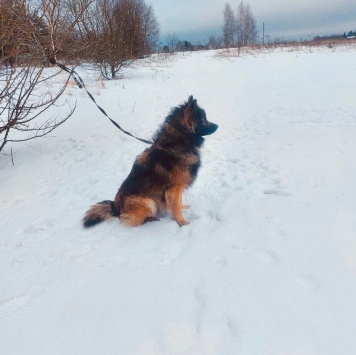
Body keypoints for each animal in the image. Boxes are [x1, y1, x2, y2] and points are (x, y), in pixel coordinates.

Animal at [82, 95, 217, 228]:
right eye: (203, 120)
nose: (217, 126)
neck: (177, 141)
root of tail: (116, 208)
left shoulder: (176, 190)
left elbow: (179, 202)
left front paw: (183, 207)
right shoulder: (174, 188)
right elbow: (176, 206)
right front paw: (182, 222)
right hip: (147, 201)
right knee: (131, 220)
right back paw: (152, 219)